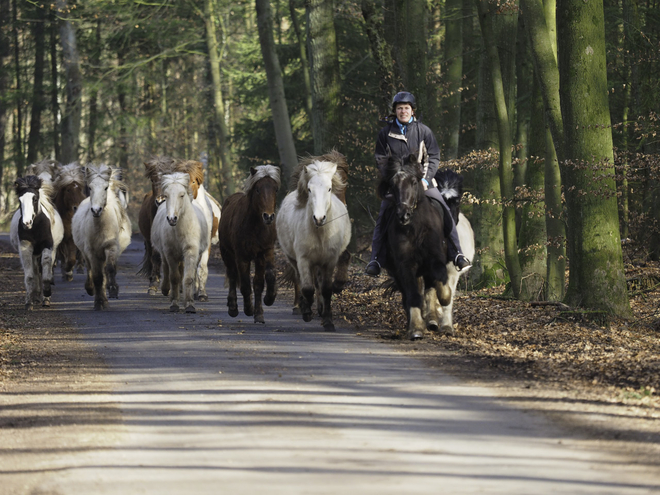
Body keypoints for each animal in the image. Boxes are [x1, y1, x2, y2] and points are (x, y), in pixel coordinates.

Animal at [10, 175, 64, 310]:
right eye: (20, 200)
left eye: (35, 199)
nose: (26, 223)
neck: (36, 227)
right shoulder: (26, 247)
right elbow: (30, 276)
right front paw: (29, 302)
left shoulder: (48, 246)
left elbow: (46, 273)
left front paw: (47, 295)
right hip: (34, 253)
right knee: (35, 270)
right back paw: (36, 296)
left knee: (42, 269)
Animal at [73, 165, 132, 310]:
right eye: (90, 187)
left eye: (105, 188)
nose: (96, 210)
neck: (101, 227)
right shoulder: (92, 252)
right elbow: (97, 276)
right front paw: (99, 302)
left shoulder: (111, 247)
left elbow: (110, 269)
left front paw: (113, 289)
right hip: (87, 253)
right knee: (90, 270)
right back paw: (91, 290)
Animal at [152, 173, 209, 314]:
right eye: (166, 195)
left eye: (182, 195)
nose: (172, 218)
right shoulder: (170, 253)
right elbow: (174, 277)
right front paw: (174, 304)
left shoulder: (190, 251)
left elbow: (188, 278)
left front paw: (189, 304)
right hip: (165, 253)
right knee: (166, 268)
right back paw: (166, 290)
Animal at [219, 165, 282, 324]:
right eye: (258, 189)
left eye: (275, 189)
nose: (268, 216)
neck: (255, 226)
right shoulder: (242, 257)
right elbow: (246, 285)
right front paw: (249, 309)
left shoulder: (265, 251)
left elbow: (265, 278)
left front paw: (266, 302)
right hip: (226, 253)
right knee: (233, 275)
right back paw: (233, 308)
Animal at [378, 147, 452, 340]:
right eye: (393, 184)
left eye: (413, 182)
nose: (403, 215)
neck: (415, 227)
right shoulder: (405, 265)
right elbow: (412, 296)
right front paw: (416, 328)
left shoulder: (435, 258)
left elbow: (440, 282)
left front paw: (446, 298)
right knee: (411, 295)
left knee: (430, 290)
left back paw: (432, 320)